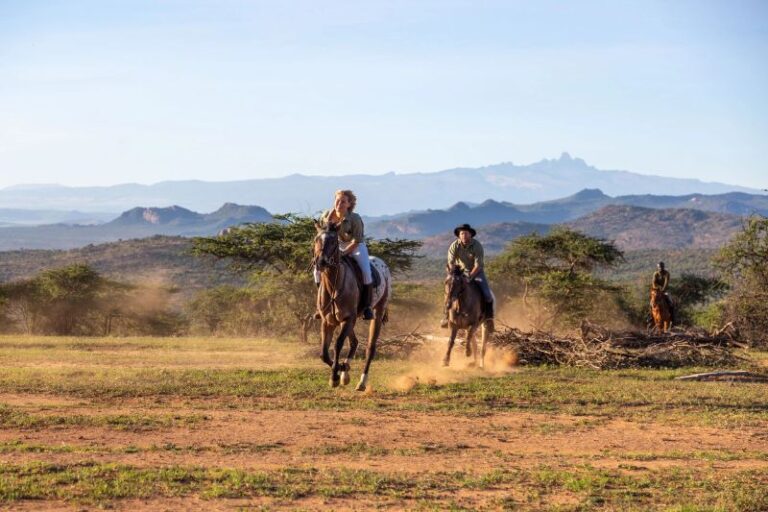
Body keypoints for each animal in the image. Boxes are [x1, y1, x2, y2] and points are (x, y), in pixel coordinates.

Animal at [313, 222, 391, 391]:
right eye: (316, 239)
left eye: (333, 241)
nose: (321, 262)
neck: (333, 285)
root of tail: (383, 265)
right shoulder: (328, 321)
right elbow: (324, 353)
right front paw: (341, 370)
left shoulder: (348, 318)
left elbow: (337, 345)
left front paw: (335, 377)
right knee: (354, 342)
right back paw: (345, 371)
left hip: (377, 312)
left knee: (370, 348)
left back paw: (361, 382)